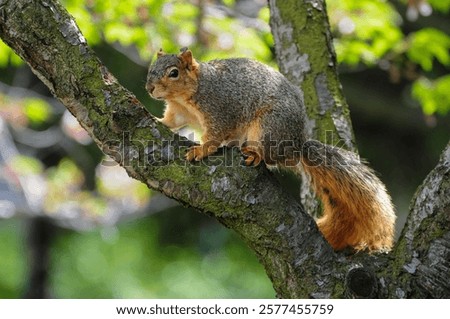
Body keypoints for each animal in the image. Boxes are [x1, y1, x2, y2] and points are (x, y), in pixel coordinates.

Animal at [146, 47, 396, 254]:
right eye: (151, 68)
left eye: (174, 73)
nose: (149, 88)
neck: (187, 95)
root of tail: (297, 145)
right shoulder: (179, 112)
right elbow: (171, 120)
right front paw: (156, 119)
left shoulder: (220, 109)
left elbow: (215, 136)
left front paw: (200, 150)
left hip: (268, 127)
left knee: (269, 156)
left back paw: (254, 154)